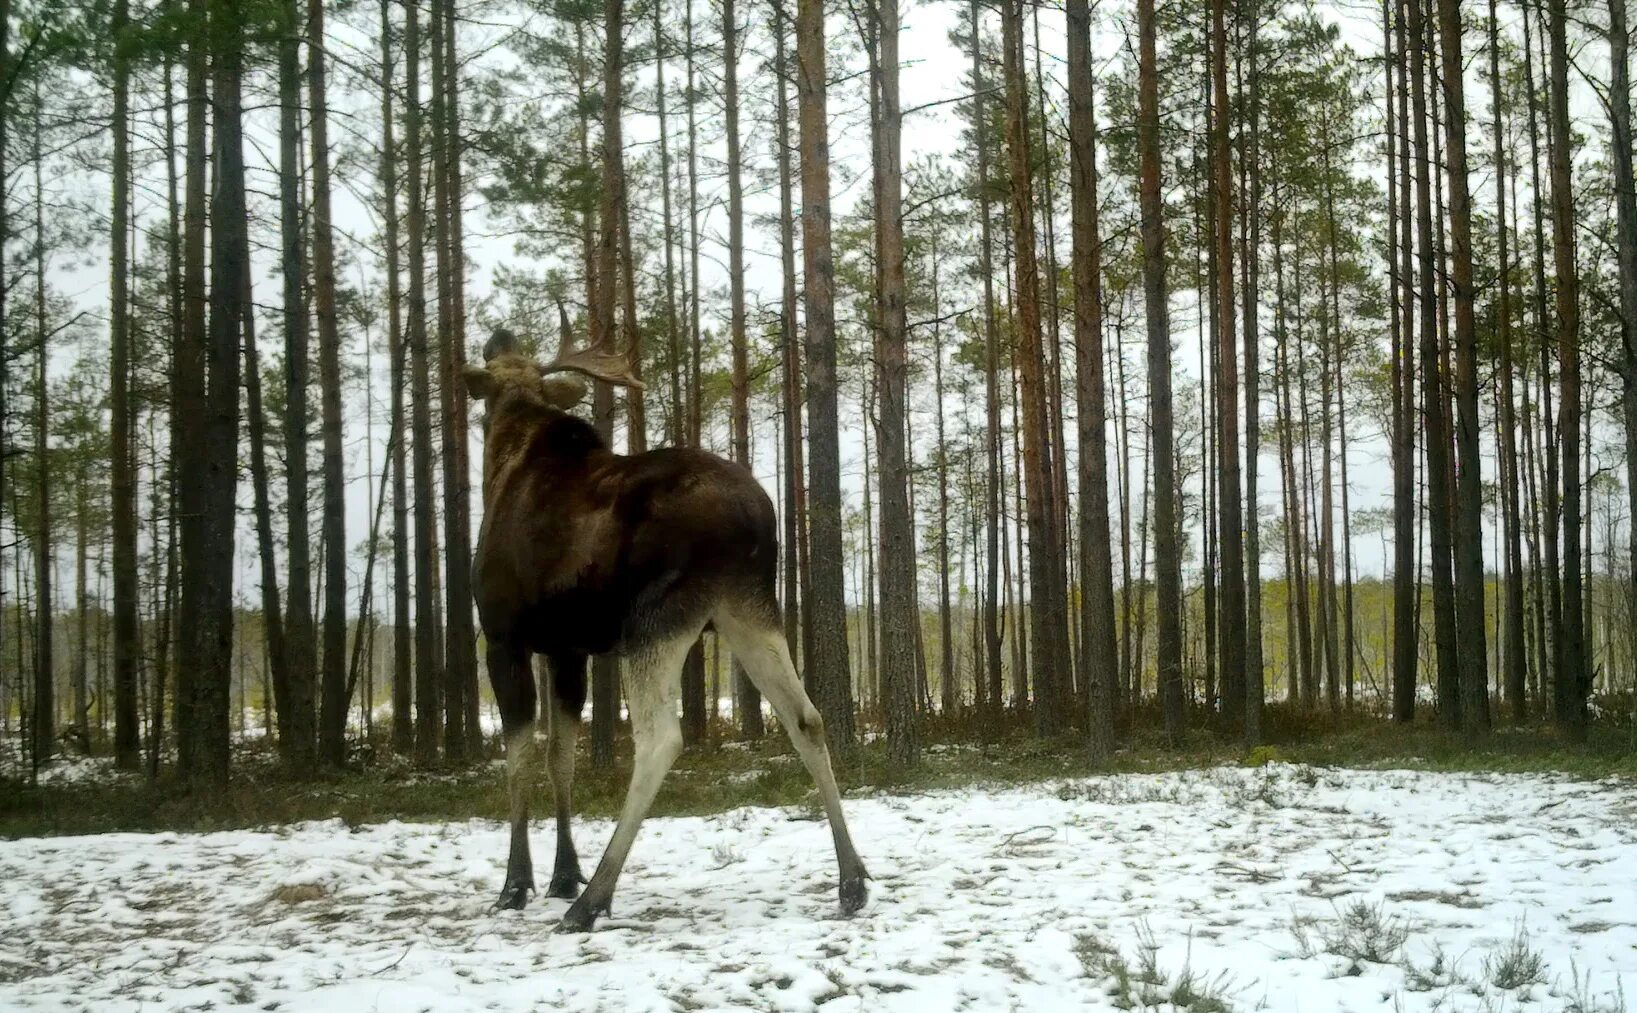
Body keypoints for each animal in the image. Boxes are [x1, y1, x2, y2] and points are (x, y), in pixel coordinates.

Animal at [461, 317, 870, 936]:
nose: (500, 330)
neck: (504, 461)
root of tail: (755, 514)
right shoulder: (567, 649)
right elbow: (561, 758)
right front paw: (562, 875)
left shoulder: (504, 636)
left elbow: (520, 758)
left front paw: (517, 886)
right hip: (747, 608)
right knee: (806, 717)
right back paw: (853, 880)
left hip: (655, 618)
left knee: (660, 739)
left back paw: (593, 900)